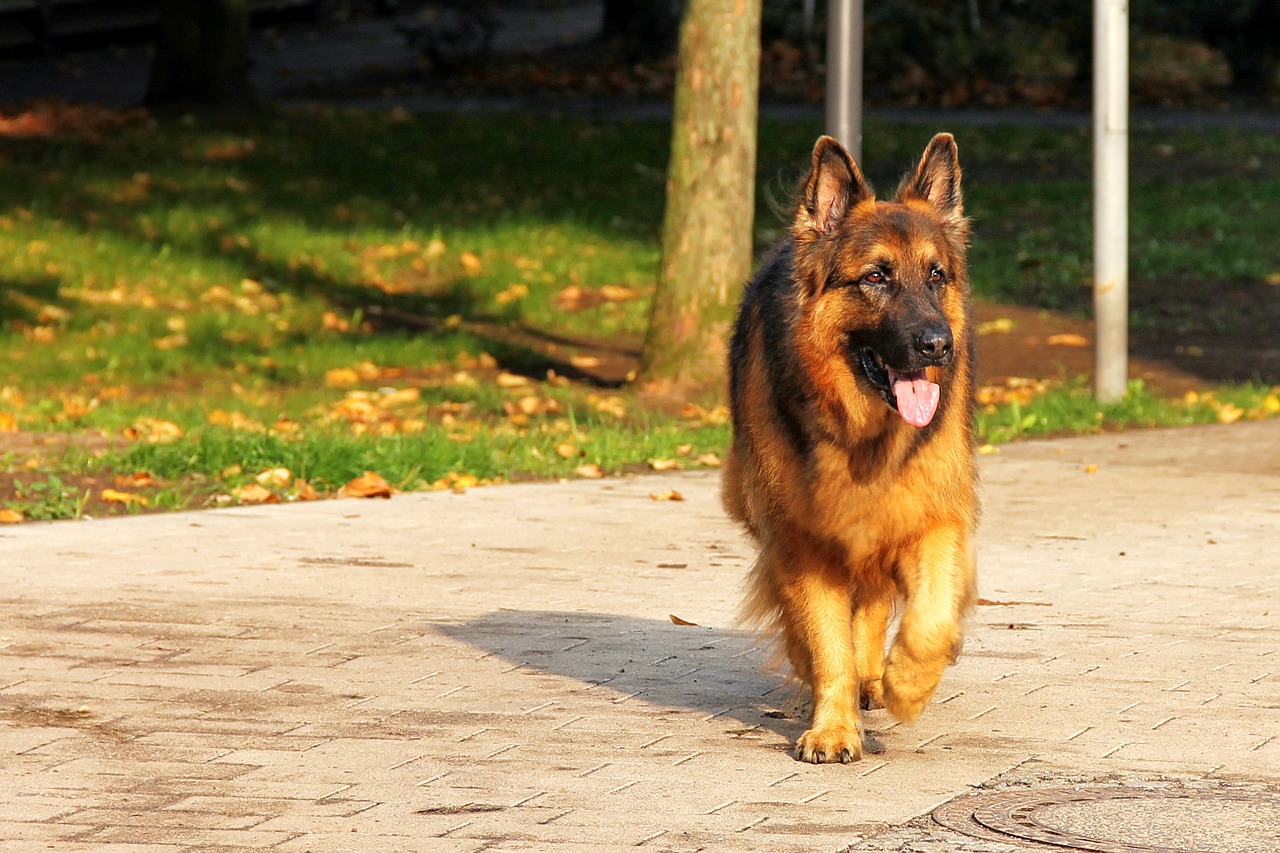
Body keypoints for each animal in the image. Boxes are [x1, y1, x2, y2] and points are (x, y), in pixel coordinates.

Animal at [721, 134, 977, 763]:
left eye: (936, 276)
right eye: (877, 277)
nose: (939, 345)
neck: (863, 436)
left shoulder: (932, 515)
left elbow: (929, 623)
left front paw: (905, 683)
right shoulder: (802, 538)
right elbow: (825, 638)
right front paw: (833, 727)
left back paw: (874, 677)